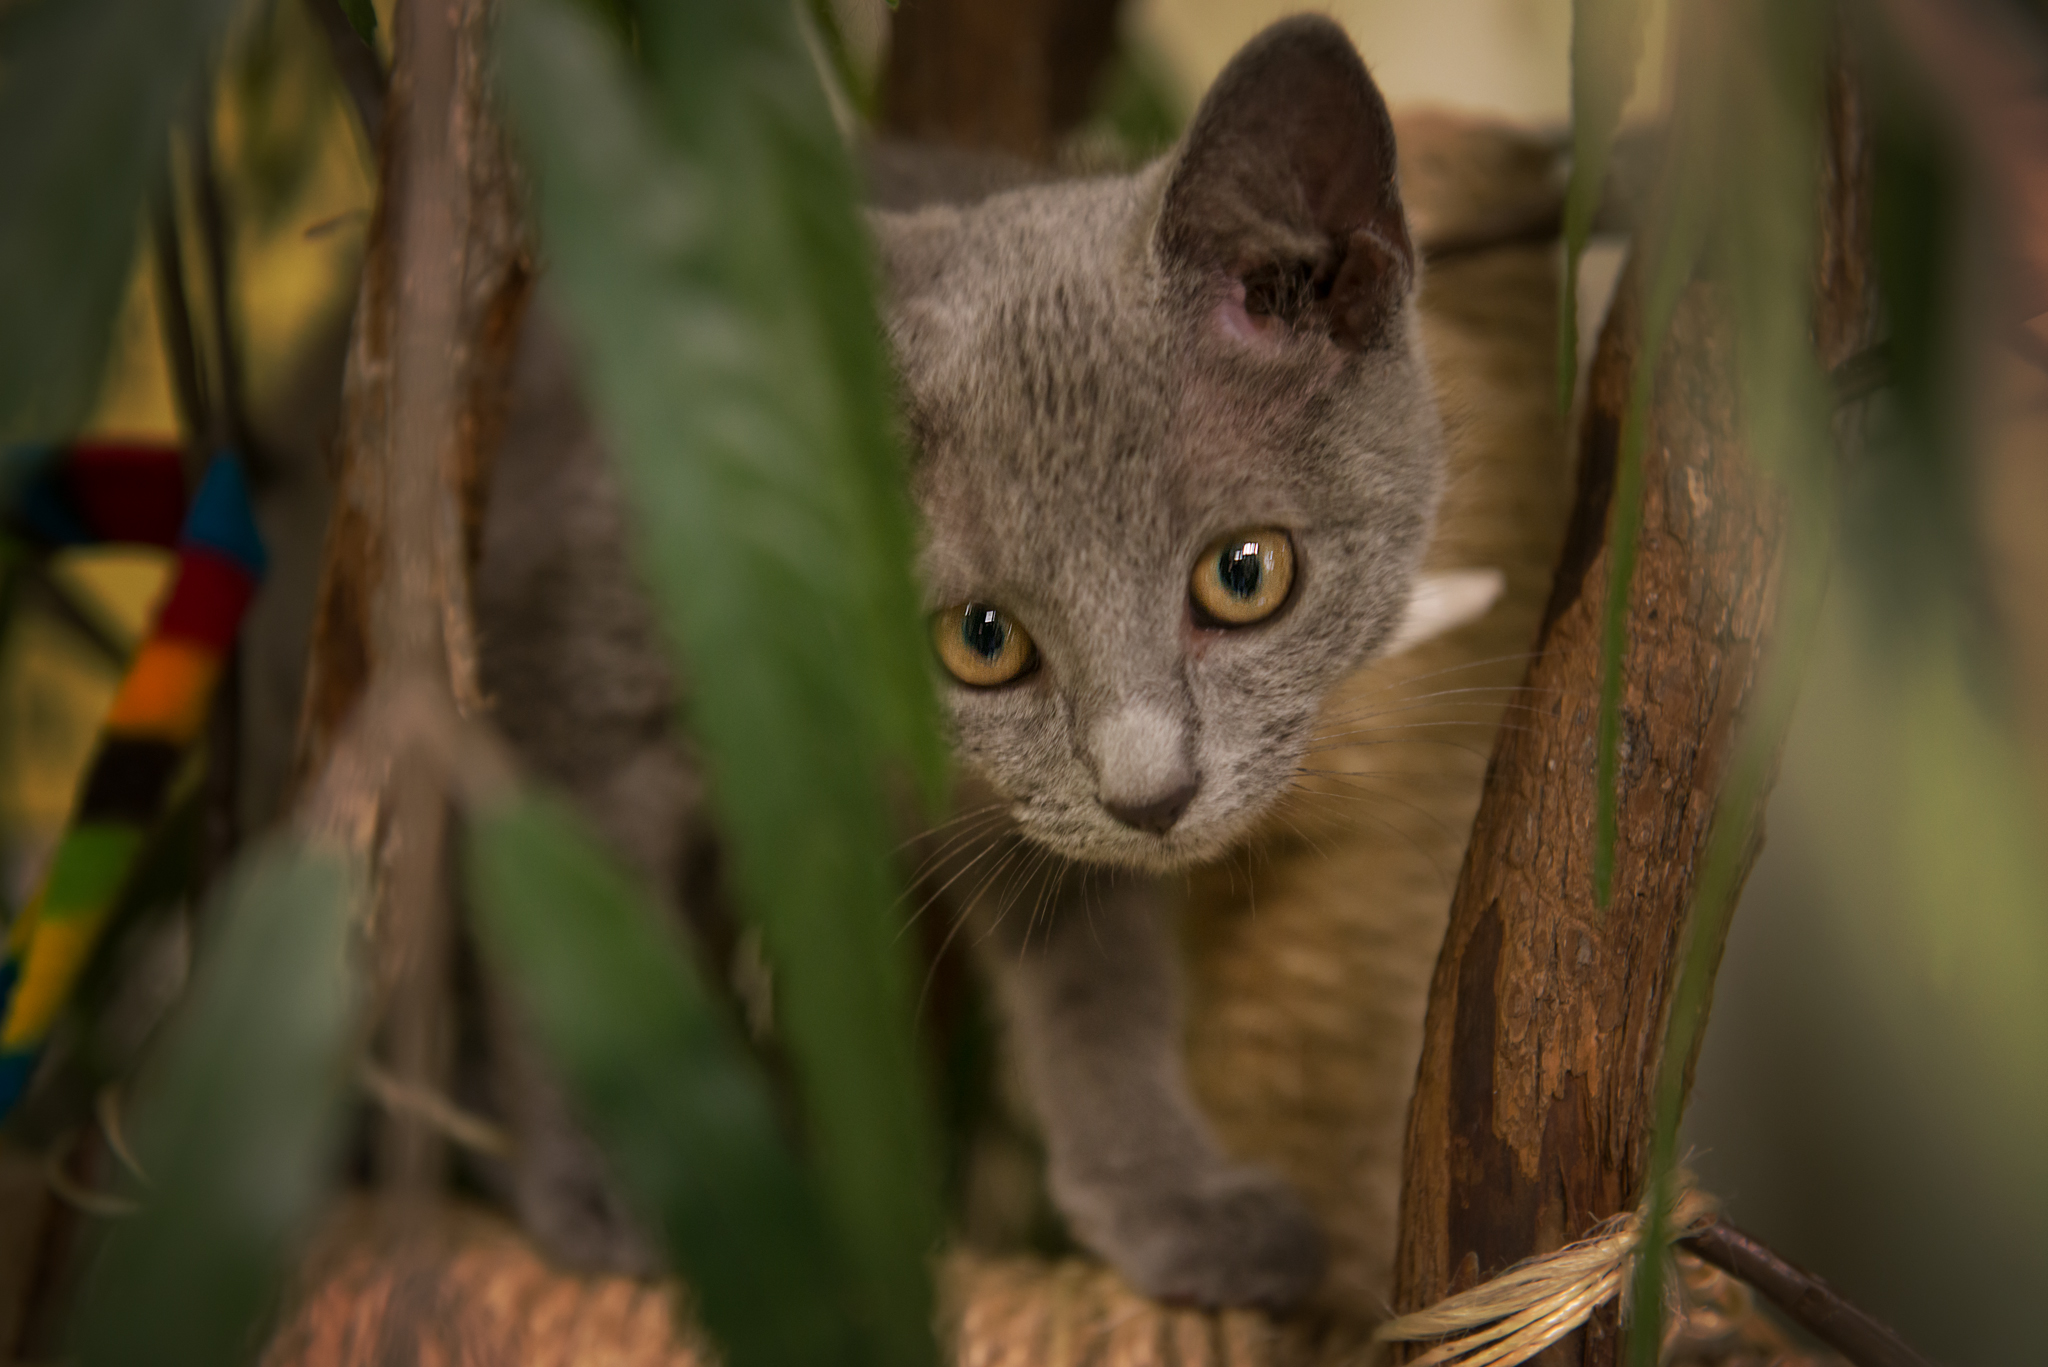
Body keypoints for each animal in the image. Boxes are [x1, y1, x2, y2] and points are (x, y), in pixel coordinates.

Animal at [468, 13, 1523, 1311]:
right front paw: (634, 1183)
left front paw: (1165, 1192)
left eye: (1244, 572)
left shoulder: (1041, 830)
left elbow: (1097, 980)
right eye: (979, 637)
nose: (1151, 794)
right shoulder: (568, 663)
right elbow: (567, 920)